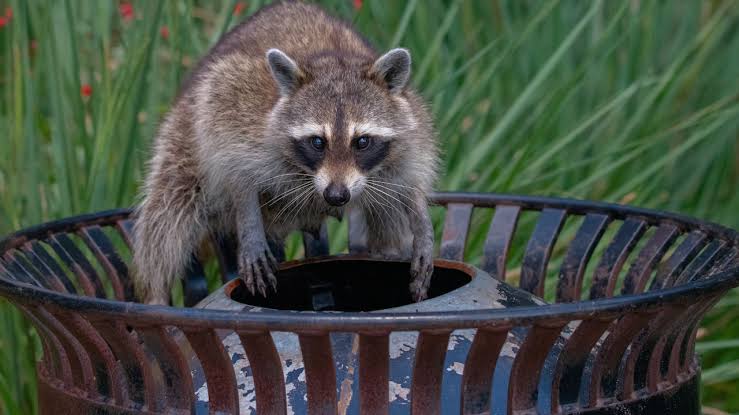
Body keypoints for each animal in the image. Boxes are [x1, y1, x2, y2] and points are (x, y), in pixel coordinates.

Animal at [132, 1, 439, 305]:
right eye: (317, 142)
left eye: (362, 142)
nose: (336, 195)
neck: (335, 60)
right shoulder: (235, 108)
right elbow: (235, 173)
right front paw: (250, 226)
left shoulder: (411, 124)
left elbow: (411, 178)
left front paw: (422, 223)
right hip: (183, 137)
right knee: (167, 216)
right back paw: (156, 292)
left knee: (387, 214)